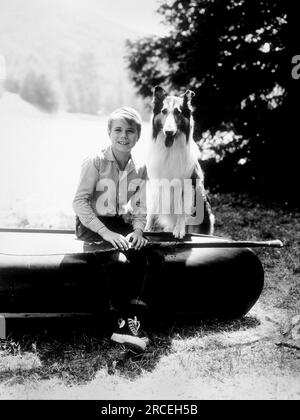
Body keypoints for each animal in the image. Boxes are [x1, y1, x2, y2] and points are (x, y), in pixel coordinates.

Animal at [145, 86, 213, 236]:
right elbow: (151, 211)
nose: (169, 132)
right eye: (164, 111)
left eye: (178, 112)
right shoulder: (156, 184)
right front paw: (146, 229)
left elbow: (181, 209)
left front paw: (179, 229)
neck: (169, 151)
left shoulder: (187, 184)